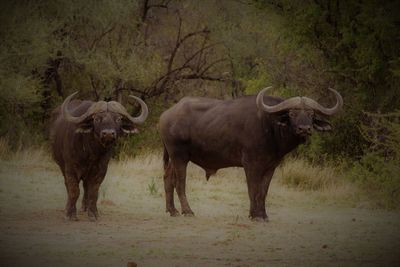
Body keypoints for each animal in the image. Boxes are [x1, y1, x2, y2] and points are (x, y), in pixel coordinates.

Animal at [50, 92, 148, 222]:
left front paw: (93, 213)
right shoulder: (70, 168)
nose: (108, 134)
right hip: (61, 165)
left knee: (86, 187)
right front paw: (70, 214)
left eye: (118, 119)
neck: (91, 152)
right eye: (96, 119)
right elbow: (74, 190)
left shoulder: (100, 170)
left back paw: (85, 207)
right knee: (69, 186)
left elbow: (93, 191)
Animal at [159, 87, 344, 221]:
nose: (304, 129)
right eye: (292, 113)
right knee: (180, 183)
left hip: (173, 158)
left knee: (168, 178)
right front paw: (254, 215)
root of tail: (165, 116)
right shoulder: (251, 164)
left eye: (311, 114)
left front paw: (263, 215)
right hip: (180, 156)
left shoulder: (270, 167)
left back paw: (172, 210)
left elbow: (263, 191)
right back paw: (187, 211)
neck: (270, 127)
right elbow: (253, 189)